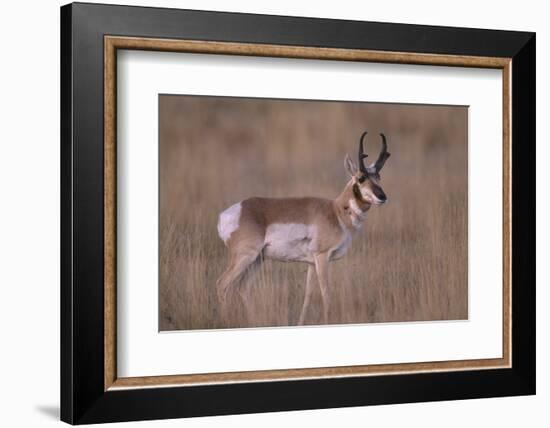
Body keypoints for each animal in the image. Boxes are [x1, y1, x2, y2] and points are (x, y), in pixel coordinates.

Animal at [217, 131, 392, 324]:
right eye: (361, 178)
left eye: (378, 177)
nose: (382, 197)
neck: (336, 211)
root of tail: (229, 213)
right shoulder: (322, 257)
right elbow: (326, 293)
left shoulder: (310, 263)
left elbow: (308, 295)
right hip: (245, 257)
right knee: (222, 284)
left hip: (256, 260)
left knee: (243, 288)